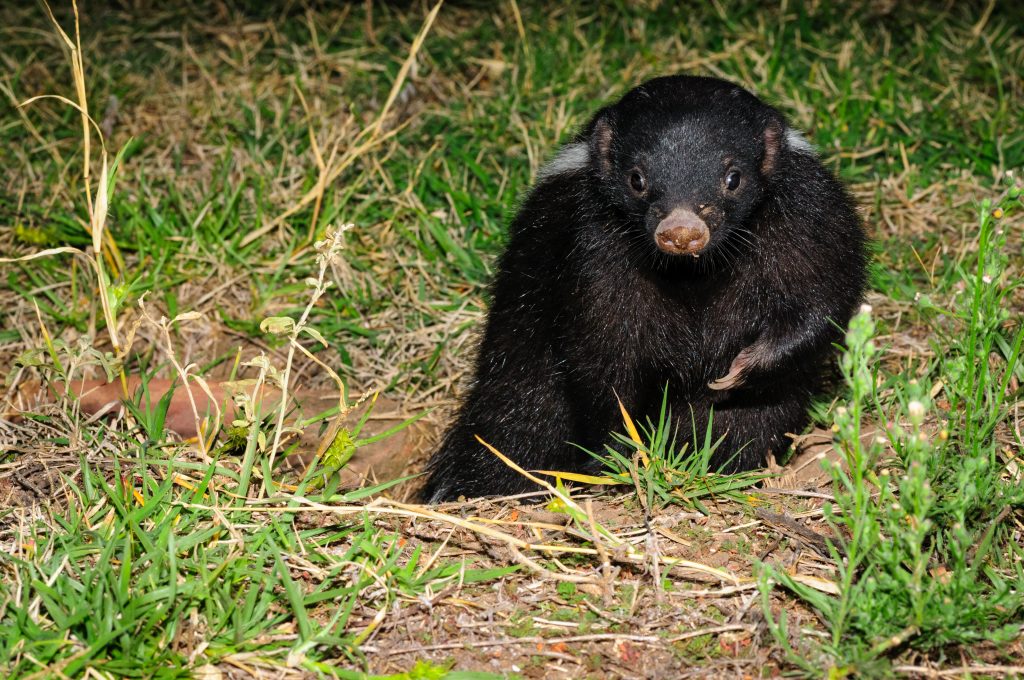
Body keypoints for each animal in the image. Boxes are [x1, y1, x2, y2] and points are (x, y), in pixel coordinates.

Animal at [421, 76, 864, 501]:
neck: (691, 272)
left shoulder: (807, 215)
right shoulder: (590, 246)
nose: (682, 231)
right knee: (517, 420)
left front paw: (738, 370)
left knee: (749, 421)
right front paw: (621, 453)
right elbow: (601, 355)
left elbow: (823, 299)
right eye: (637, 179)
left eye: (733, 178)